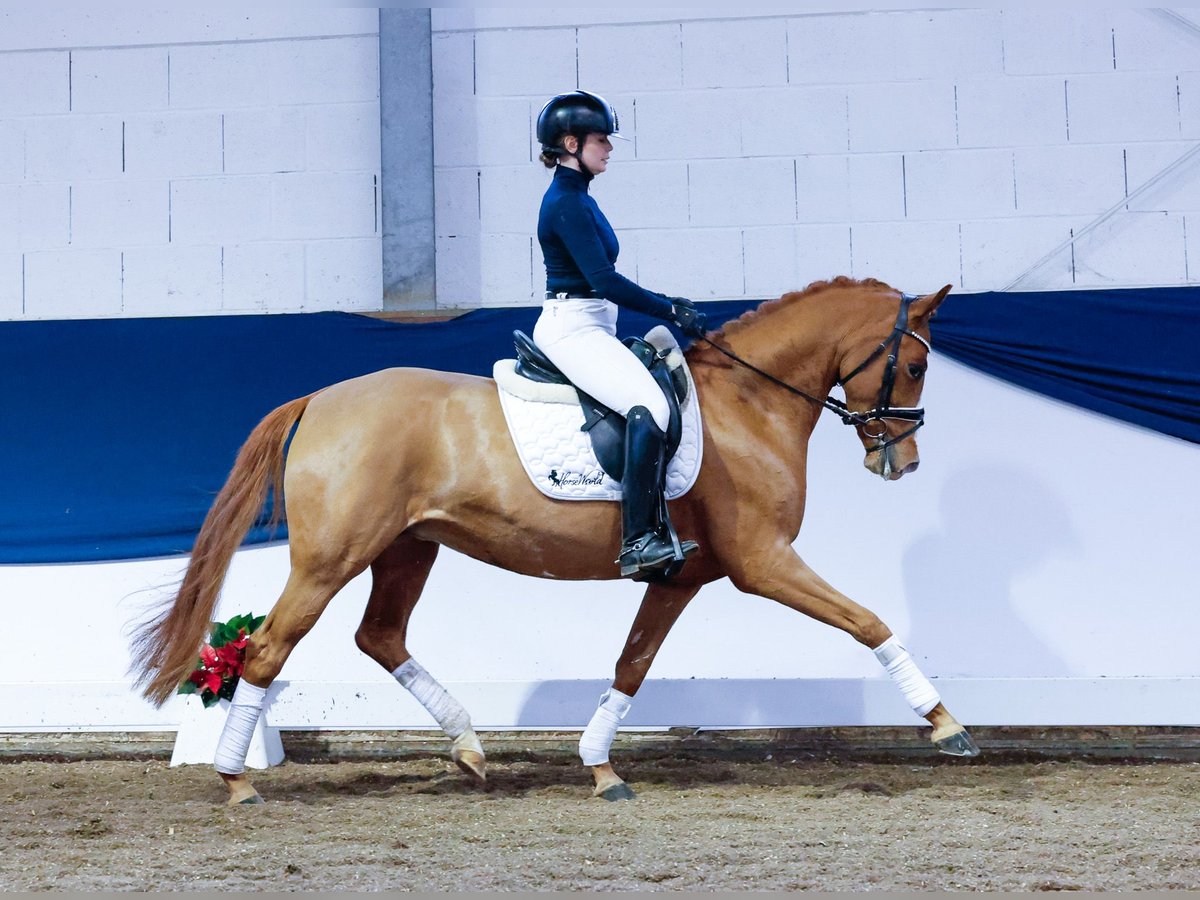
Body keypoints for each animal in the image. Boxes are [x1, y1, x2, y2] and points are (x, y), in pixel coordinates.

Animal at [131, 277, 974, 811]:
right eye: (916, 362)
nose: (902, 461)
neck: (750, 403)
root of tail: (317, 400)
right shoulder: (762, 562)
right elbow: (866, 620)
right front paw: (947, 726)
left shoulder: (680, 578)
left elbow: (631, 666)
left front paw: (601, 770)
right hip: (332, 558)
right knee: (269, 650)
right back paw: (238, 781)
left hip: (408, 547)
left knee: (380, 635)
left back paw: (469, 746)